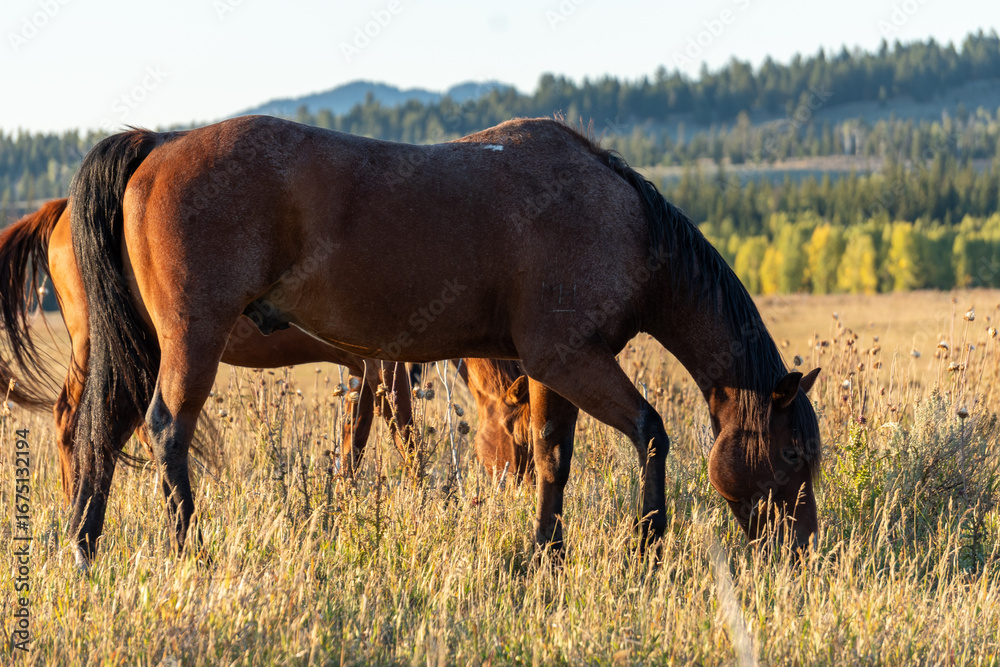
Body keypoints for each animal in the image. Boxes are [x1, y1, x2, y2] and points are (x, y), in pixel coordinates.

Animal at [0, 199, 533, 504]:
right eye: (517, 433)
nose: (524, 487)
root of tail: (62, 209)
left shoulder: (361, 370)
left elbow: (353, 440)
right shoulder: (385, 368)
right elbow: (400, 436)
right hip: (101, 344)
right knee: (73, 420)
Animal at [68, 115, 821, 565]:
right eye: (790, 455)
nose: (805, 552)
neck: (619, 216)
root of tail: (159, 144)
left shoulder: (551, 371)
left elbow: (550, 459)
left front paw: (545, 555)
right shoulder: (571, 360)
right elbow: (651, 431)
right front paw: (647, 546)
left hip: (143, 348)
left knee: (102, 430)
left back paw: (83, 547)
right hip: (191, 341)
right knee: (166, 430)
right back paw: (187, 549)